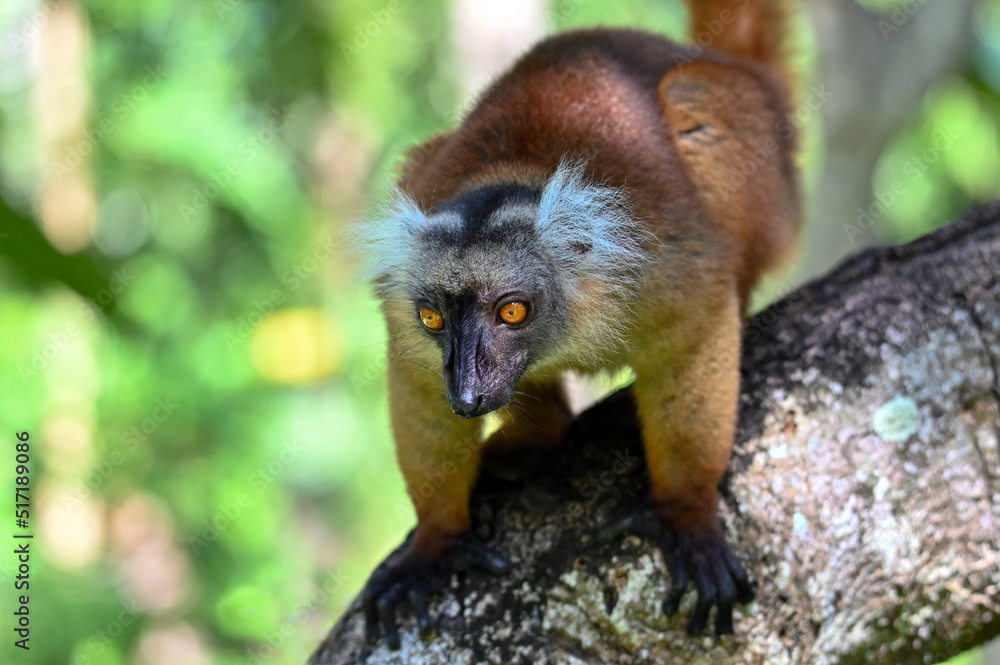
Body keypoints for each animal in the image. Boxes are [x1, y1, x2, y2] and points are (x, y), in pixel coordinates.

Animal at [357, 0, 800, 648]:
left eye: (512, 310)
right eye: (433, 316)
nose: (469, 393)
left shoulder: (662, 267)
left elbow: (696, 340)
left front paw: (687, 513)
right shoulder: (401, 304)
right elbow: (418, 387)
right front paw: (438, 541)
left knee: (696, 105)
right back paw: (536, 442)